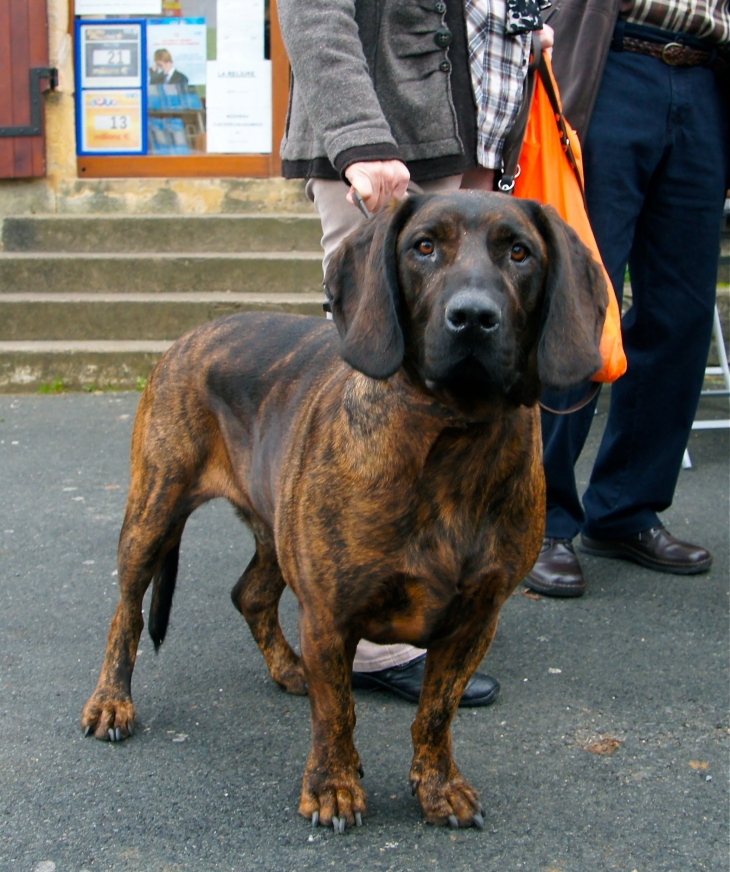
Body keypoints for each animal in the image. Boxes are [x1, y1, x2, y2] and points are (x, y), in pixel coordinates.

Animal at [79, 191, 604, 832]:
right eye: (424, 246)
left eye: (520, 252)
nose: (473, 317)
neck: (452, 439)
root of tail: (193, 335)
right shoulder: (330, 615)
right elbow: (338, 712)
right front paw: (332, 785)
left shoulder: (474, 621)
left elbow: (436, 711)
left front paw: (438, 784)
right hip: (153, 511)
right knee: (127, 612)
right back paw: (112, 700)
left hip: (274, 528)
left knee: (250, 594)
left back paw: (288, 668)